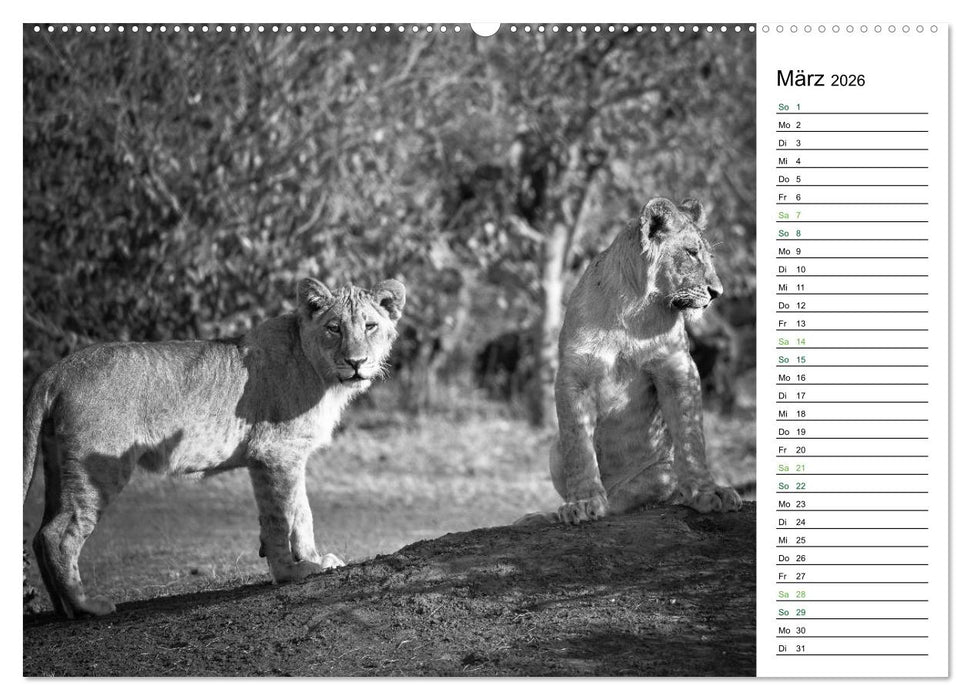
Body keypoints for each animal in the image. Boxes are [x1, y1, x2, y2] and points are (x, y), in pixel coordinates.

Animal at [23, 278, 406, 618]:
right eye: (334, 328)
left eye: (370, 326)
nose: (356, 362)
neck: (321, 374)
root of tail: (57, 371)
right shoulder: (276, 452)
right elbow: (286, 516)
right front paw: (296, 571)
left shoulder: (275, 457)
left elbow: (290, 513)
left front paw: (303, 563)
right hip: (101, 468)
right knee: (58, 535)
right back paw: (87, 606)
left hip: (58, 464)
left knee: (40, 534)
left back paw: (63, 610)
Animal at [520, 197, 742, 526]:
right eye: (691, 252)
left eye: (709, 256)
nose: (717, 293)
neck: (633, 309)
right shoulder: (574, 373)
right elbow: (578, 445)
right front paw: (582, 502)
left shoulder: (677, 365)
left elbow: (691, 436)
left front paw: (708, 492)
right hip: (553, 449)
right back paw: (543, 515)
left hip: (661, 474)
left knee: (630, 496)